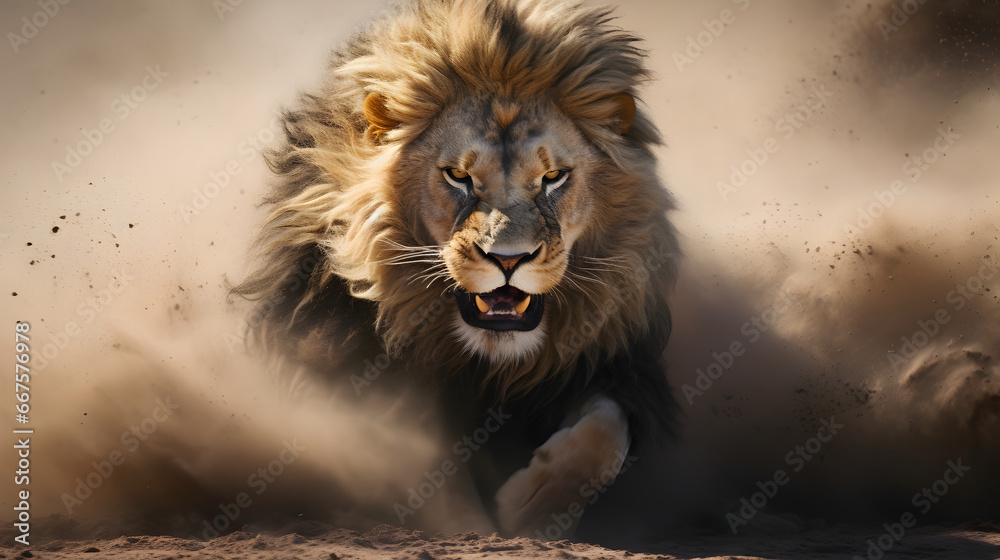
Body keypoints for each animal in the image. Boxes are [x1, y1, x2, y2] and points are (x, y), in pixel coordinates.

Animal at [233, 0, 681, 538]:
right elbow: (422, 470)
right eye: (458, 176)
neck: (487, 362)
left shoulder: (613, 362)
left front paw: (531, 509)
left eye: (553, 177)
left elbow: (605, 437)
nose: (508, 259)